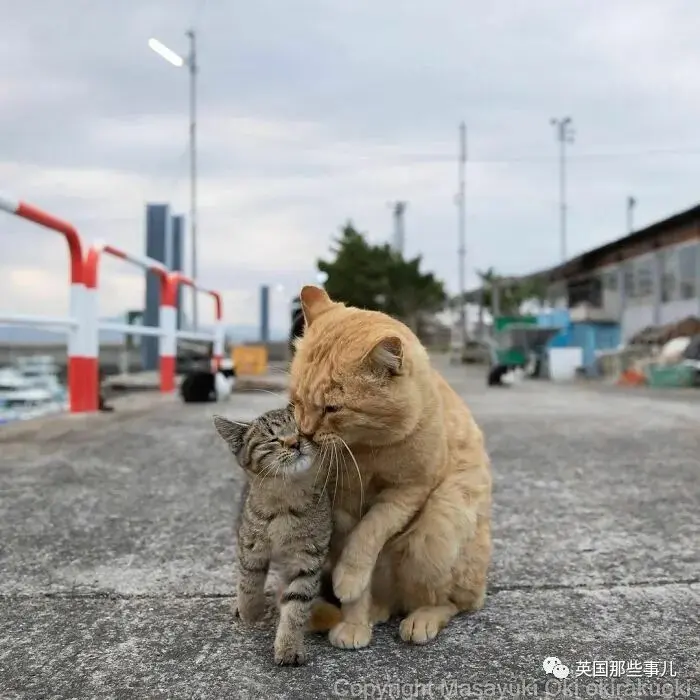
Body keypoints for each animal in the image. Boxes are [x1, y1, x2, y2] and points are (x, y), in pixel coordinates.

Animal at [216, 404, 342, 668]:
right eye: (273, 438)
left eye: (301, 429)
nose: (295, 442)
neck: (286, 501)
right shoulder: (251, 544)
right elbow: (249, 580)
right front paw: (250, 611)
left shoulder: (308, 556)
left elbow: (296, 604)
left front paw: (288, 646)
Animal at [288, 288, 490, 648]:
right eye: (297, 400)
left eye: (332, 408)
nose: (306, 433)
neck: (366, 450)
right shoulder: (339, 505)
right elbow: (355, 557)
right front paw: (355, 621)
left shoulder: (408, 492)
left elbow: (369, 534)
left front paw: (349, 580)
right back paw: (376, 611)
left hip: (441, 521)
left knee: (452, 602)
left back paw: (421, 619)